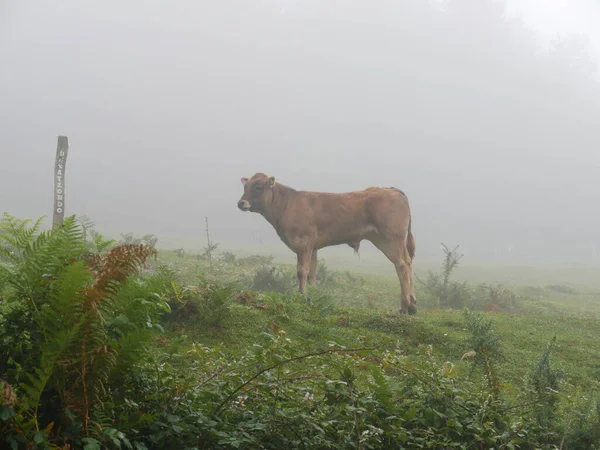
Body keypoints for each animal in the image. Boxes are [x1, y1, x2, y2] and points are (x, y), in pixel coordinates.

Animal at [236, 174, 418, 314]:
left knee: (402, 266)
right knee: (408, 262)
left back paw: (405, 306)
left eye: (258, 187)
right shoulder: (313, 247)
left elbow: (302, 272)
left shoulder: (303, 242)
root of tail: (391, 189)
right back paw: (412, 304)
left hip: (390, 240)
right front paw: (313, 297)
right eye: (246, 186)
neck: (287, 204)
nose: (241, 203)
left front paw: (302, 297)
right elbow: (312, 273)